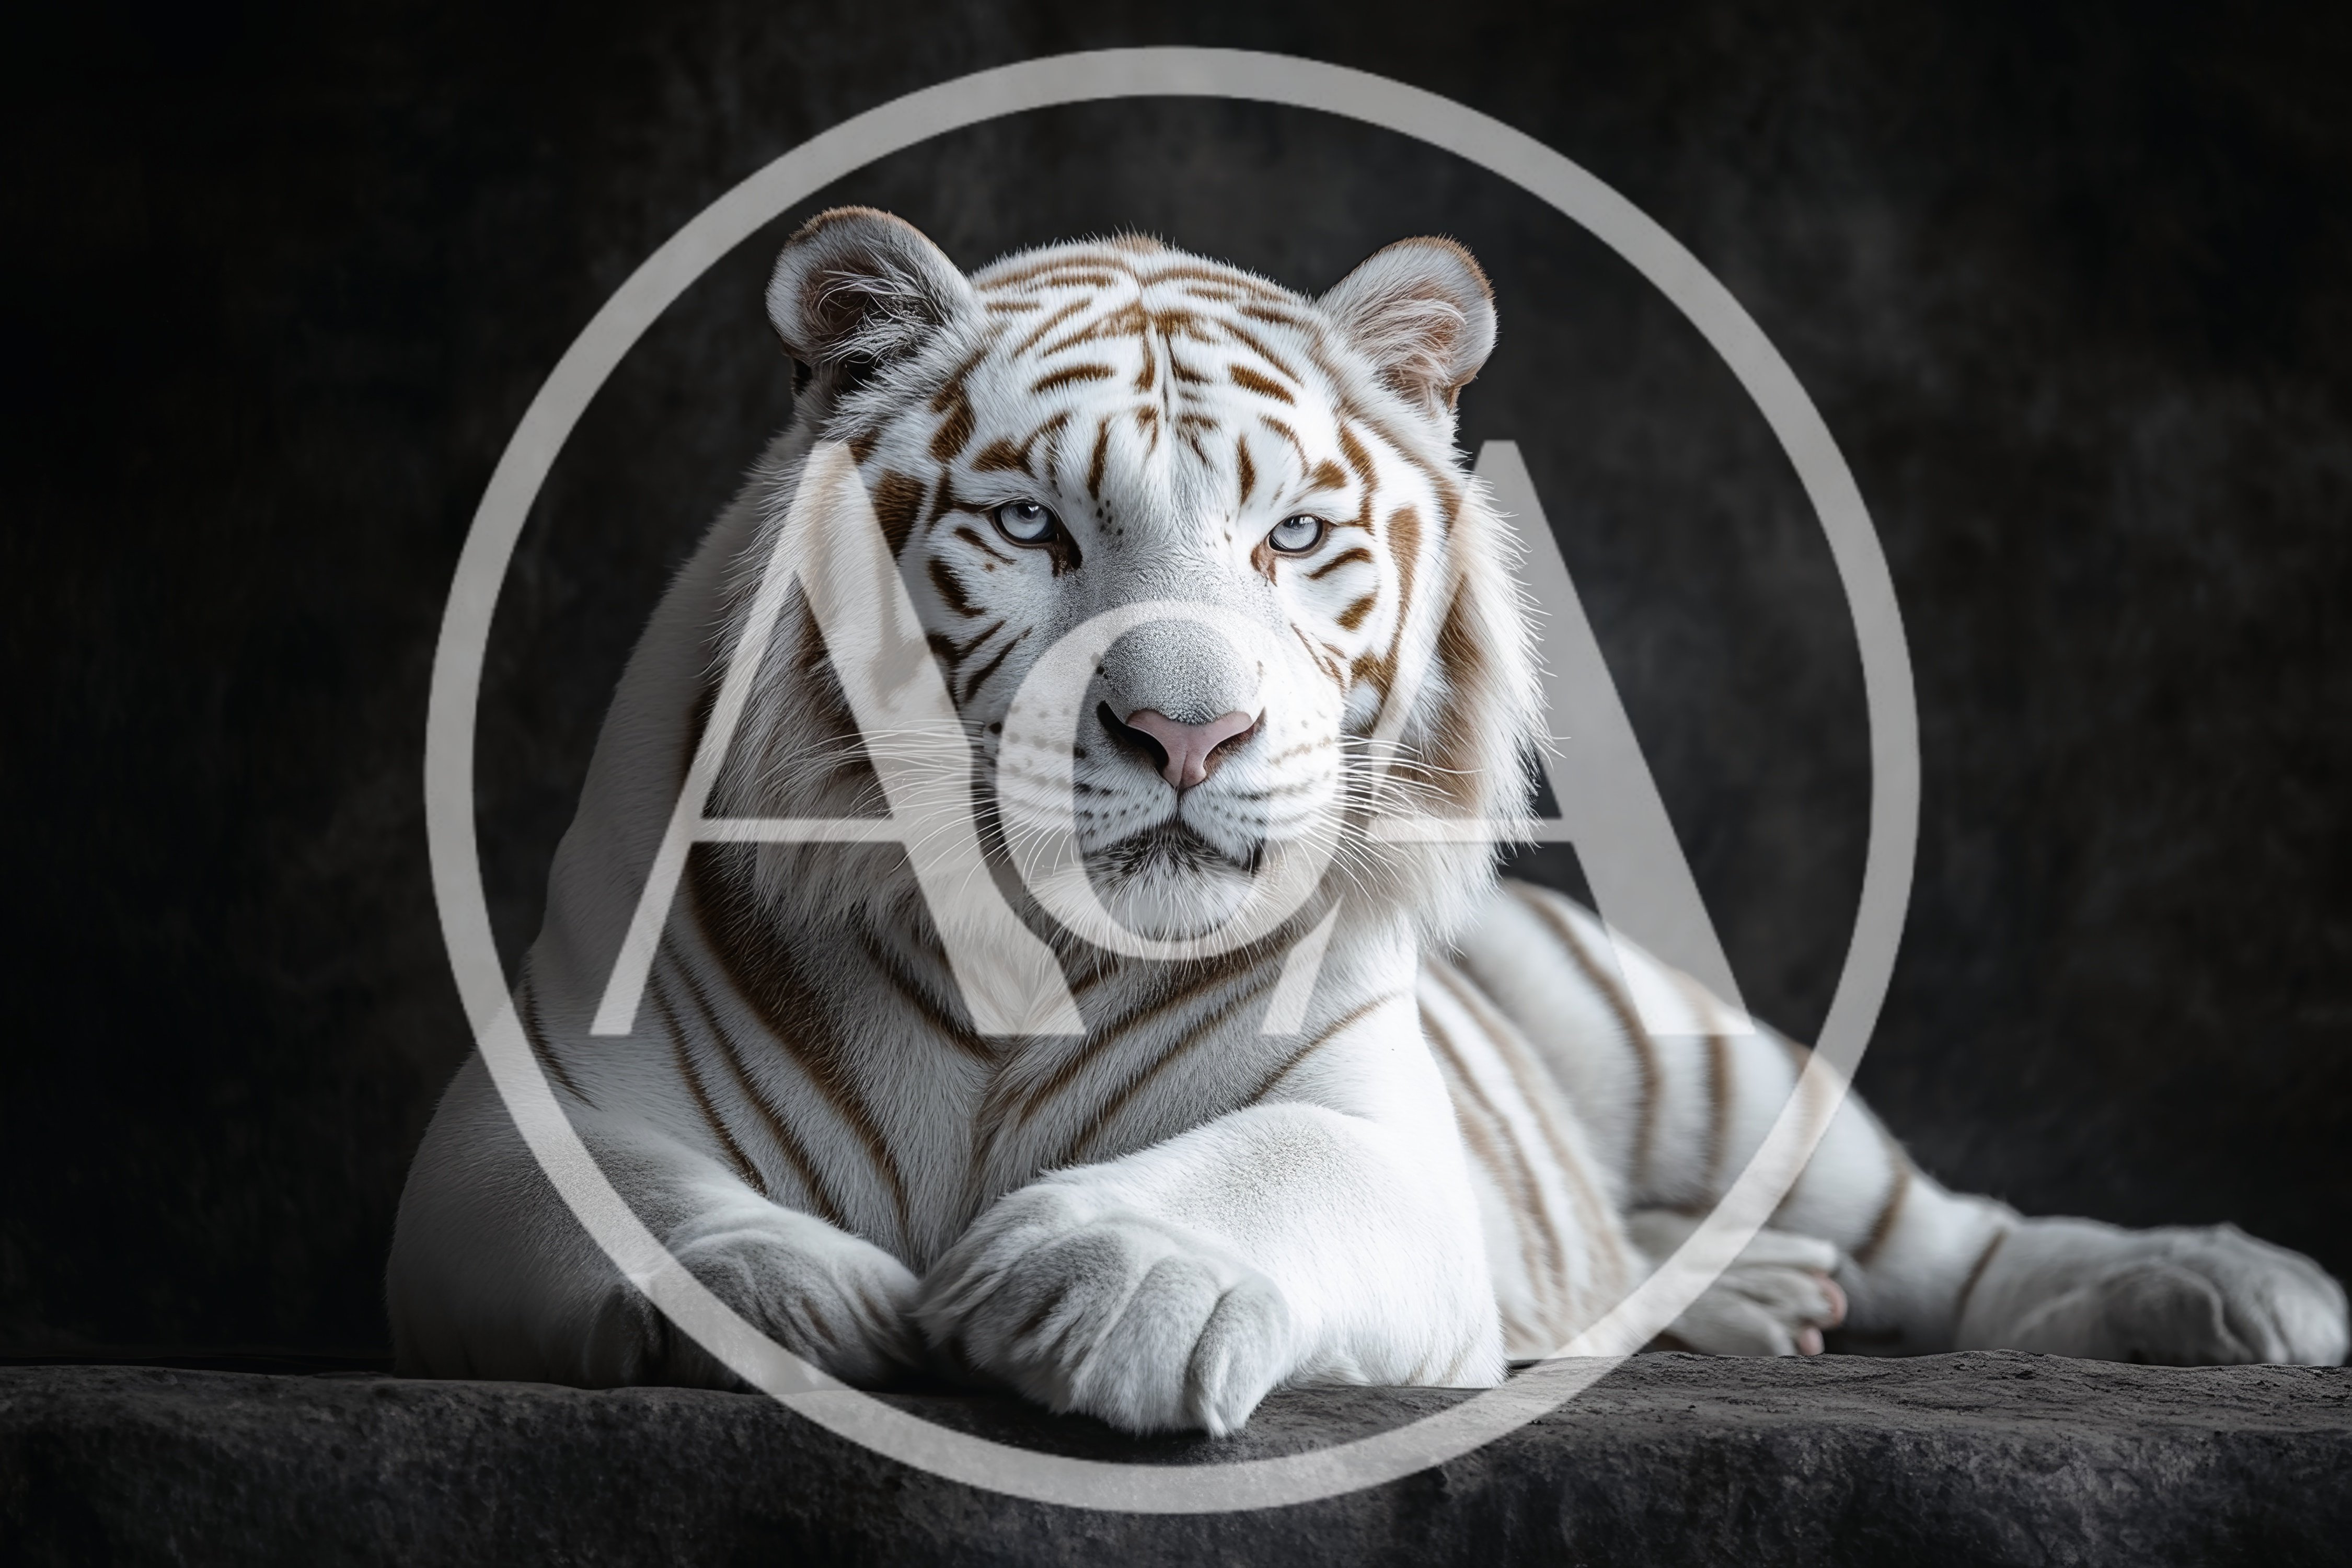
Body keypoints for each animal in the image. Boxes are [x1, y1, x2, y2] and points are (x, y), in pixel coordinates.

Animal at [388, 208, 2348, 1435]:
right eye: (1029, 528)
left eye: (1297, 538)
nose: (1188, 727)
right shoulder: (511, 1116)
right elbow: (640, 1201)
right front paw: (809, 1302)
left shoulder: (1371, 1128)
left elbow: (1264, 1176)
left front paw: (1100, 1281)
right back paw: (1745, 1299)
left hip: (1679, 1047)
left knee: (1960, 1233)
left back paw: (2223, 1288)